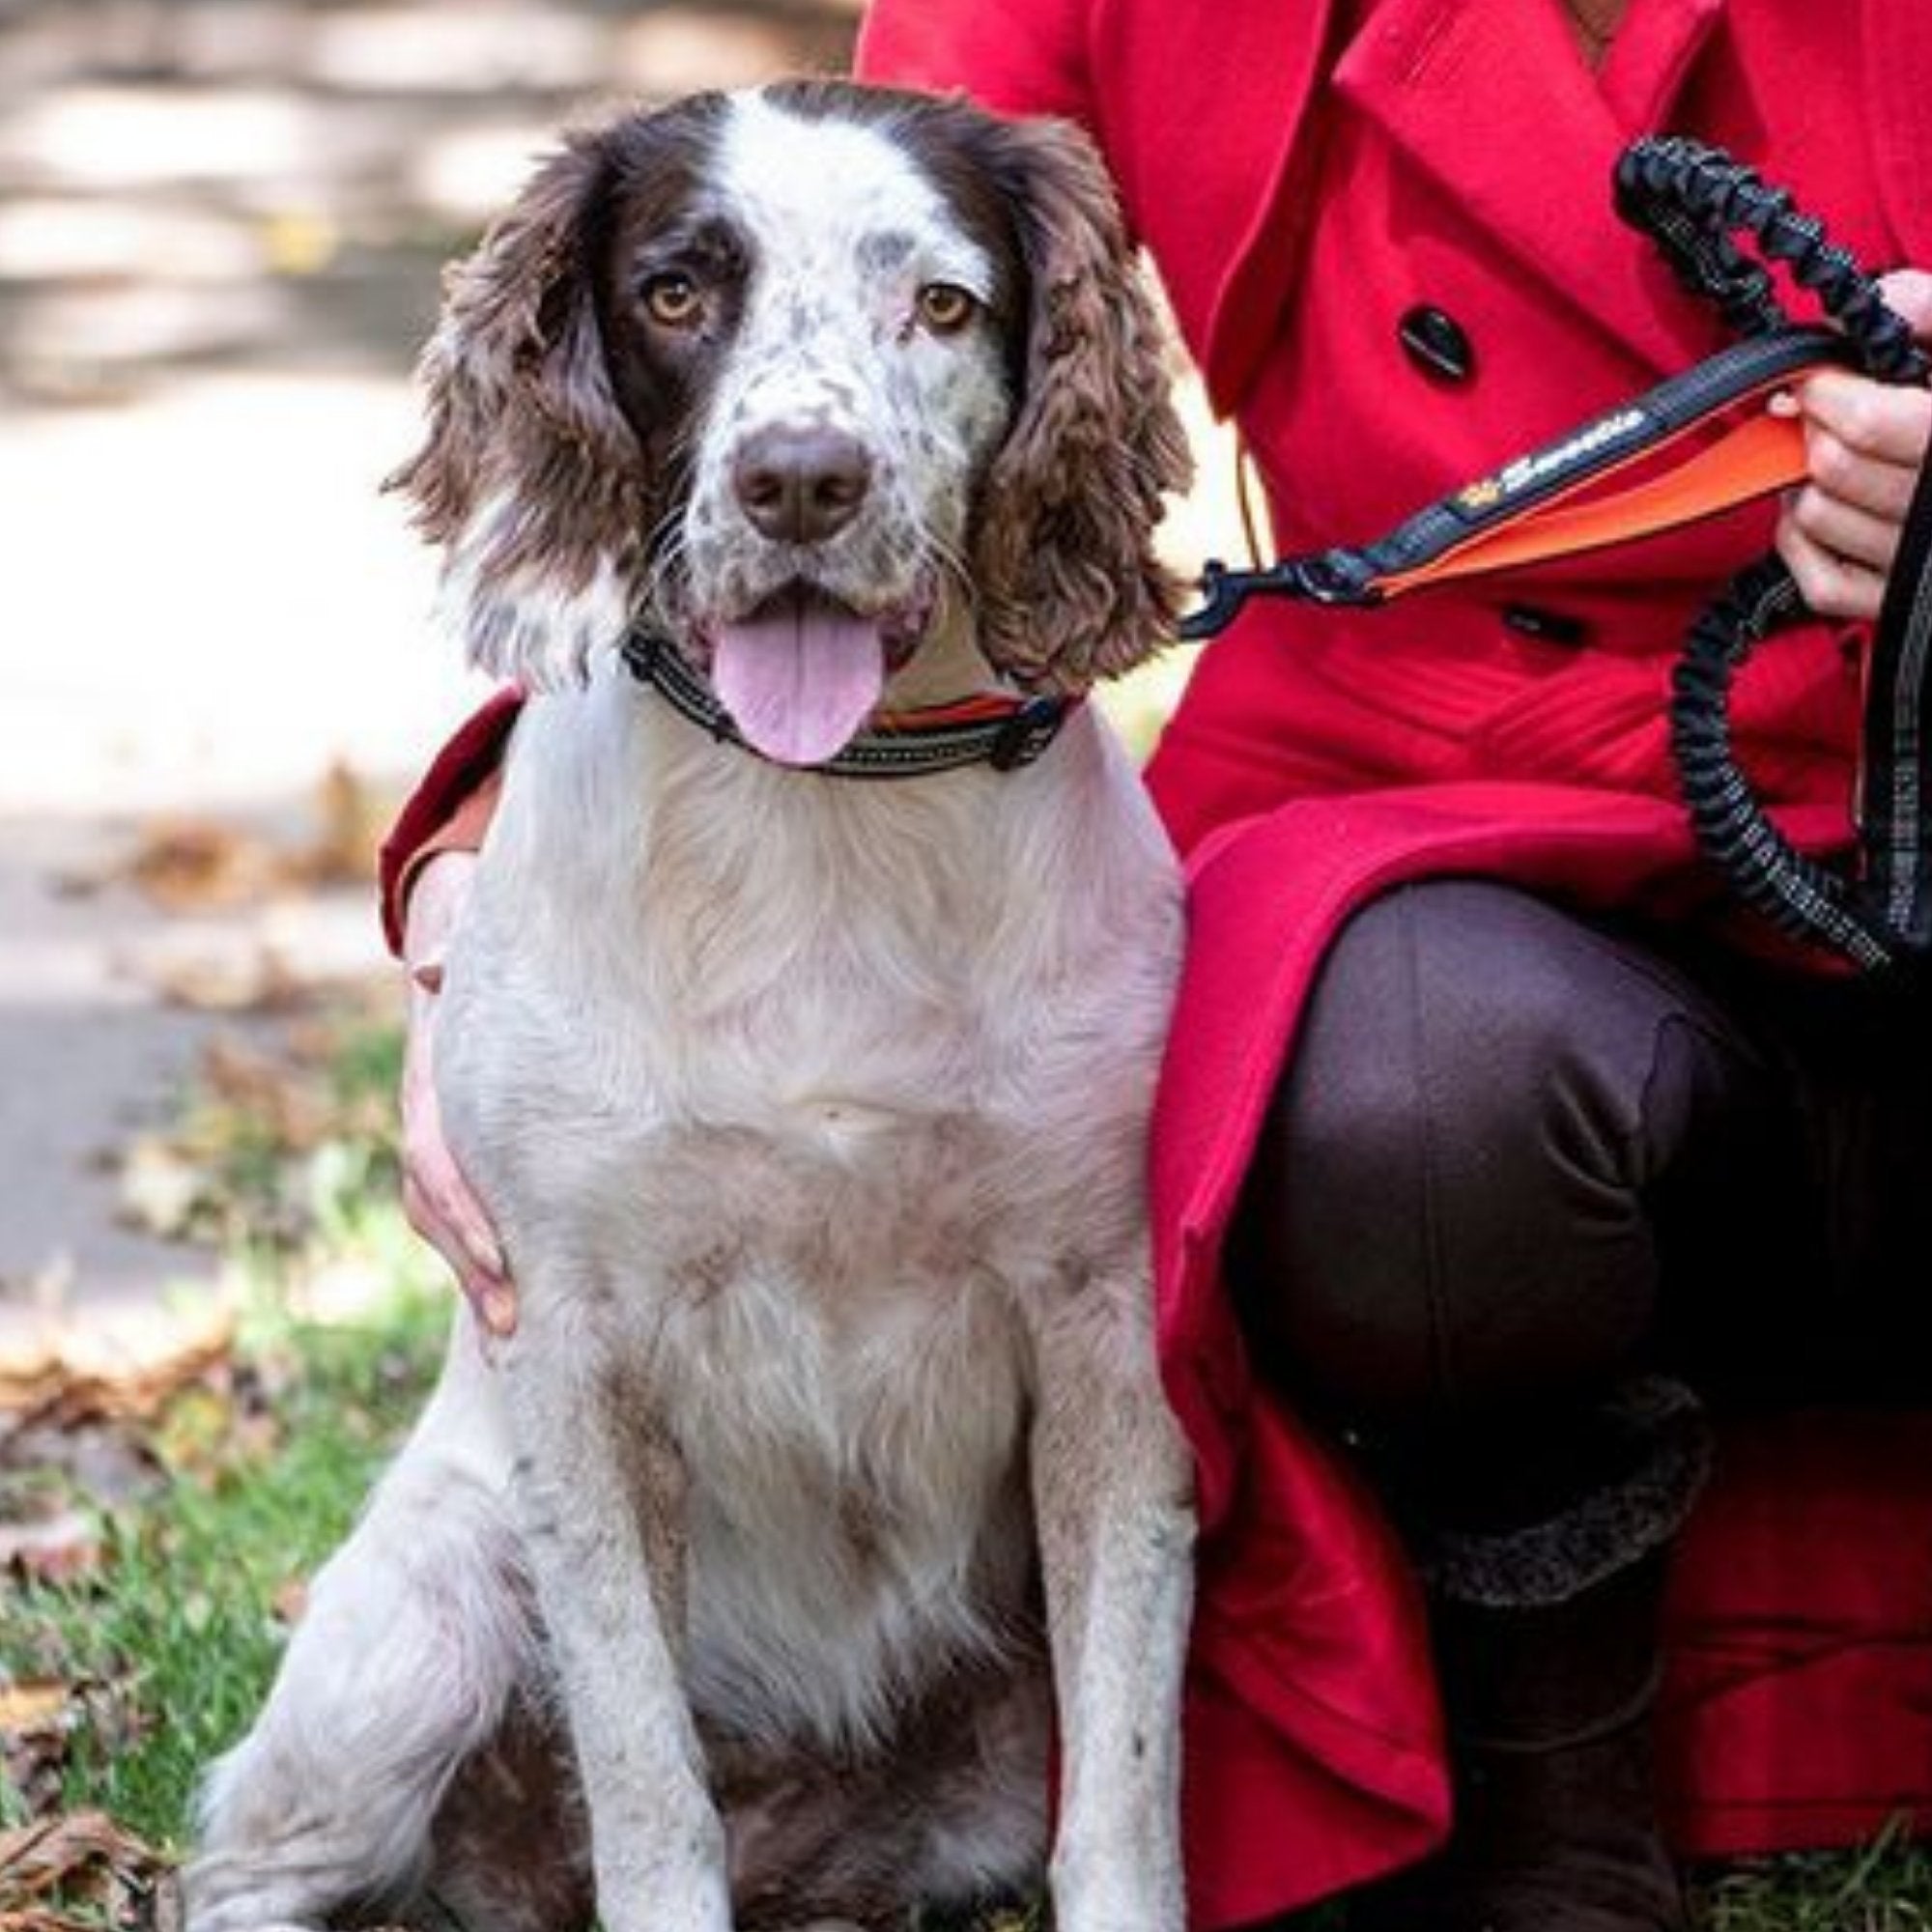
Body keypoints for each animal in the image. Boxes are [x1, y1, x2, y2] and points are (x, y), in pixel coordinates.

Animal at [188, 75, 1198, 1932]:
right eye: (674, 292)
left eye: (939, 303)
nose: (799, 479)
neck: (830, 810)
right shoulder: (579, 1348)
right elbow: (650, 1780)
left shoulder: (1105, 1327)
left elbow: (1126, 1790)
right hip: (424, 1626)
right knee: (243, 1870)